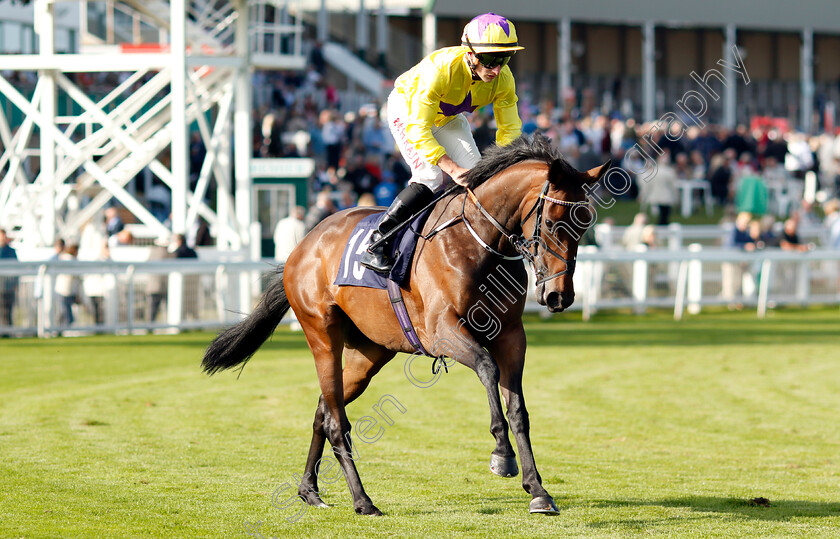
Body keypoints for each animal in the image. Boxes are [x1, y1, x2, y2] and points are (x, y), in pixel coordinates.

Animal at [203, 134, 612, 516]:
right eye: (555, 222)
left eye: (585, 224)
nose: (559, 296)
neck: (477, 239)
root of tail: (303, 245)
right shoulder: (444, 331)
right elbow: (486, 368)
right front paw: (501, 454)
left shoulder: (512, 336)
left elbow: (518, 410)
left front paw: (538, 490)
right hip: (322, 335)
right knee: (336, 421)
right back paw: (362, 500)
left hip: (368, 353)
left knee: (324, 410)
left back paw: (310, 490)